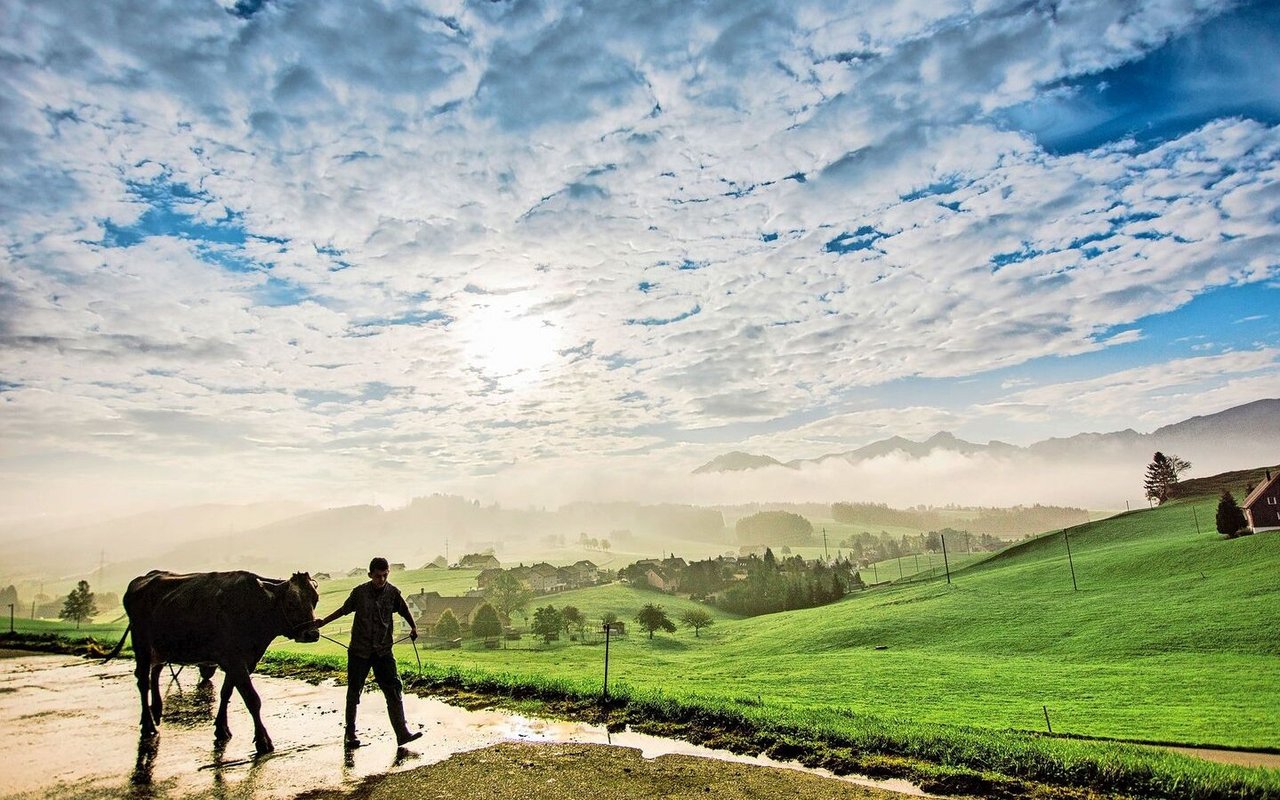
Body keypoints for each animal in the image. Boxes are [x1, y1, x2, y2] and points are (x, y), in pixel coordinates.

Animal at [106, 570, 322, 752]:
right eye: (291, 602)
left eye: (315, 600)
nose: (311, 634)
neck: (256, 606)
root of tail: (145, 577)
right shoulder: (235, 660)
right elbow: (252, 699)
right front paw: (263, 741)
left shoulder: (244, 661)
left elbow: (226, 693)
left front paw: (221, 728)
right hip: (141, 644)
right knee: (143, 682)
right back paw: (148, 724)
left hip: (161, 648)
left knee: (155, 672)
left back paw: (156, 710)